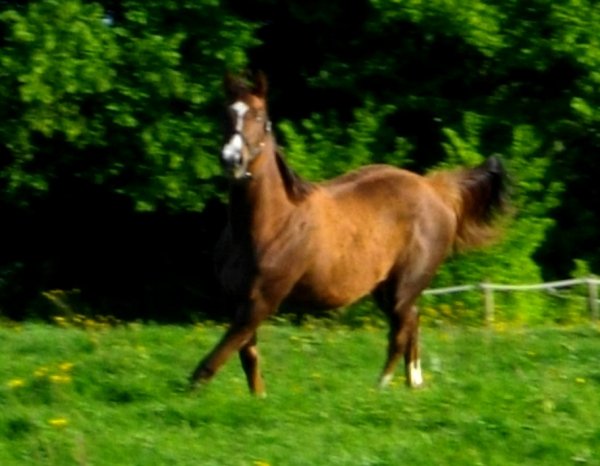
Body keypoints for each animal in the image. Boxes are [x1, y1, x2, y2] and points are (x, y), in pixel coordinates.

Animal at [191, 73, 506, 396]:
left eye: (258, 115)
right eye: (226, 113)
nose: (232, 159)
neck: (268, 225)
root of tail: (436, 190)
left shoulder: (262, 301)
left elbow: (213, 361)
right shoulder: (237, 300)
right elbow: (248, 357)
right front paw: (259, 398)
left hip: (403, 286)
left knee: (401, 331)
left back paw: (381, 386)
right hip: (386, 288)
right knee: (412, 322)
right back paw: (413, 383)